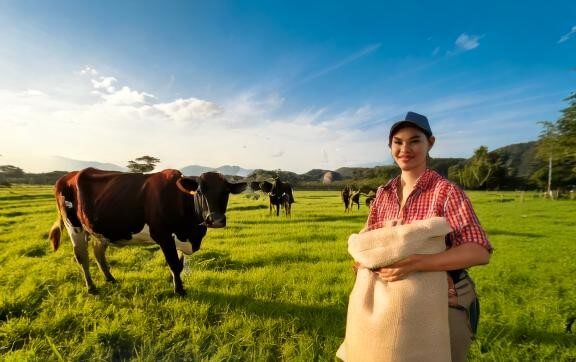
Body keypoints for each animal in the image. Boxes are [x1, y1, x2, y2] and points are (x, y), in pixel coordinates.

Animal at [49, 168, 245, 296]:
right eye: (200, 191)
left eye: (226, 191)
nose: (216, 219)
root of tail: (68, 176)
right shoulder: (163, 236)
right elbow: (174, 264)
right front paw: (179, 290)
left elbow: (180, 265)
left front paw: (177, 284)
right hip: (74, 226)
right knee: (82, 257)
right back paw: (91, 288)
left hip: (100, 231)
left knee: (98, 253)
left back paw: (110, 279)